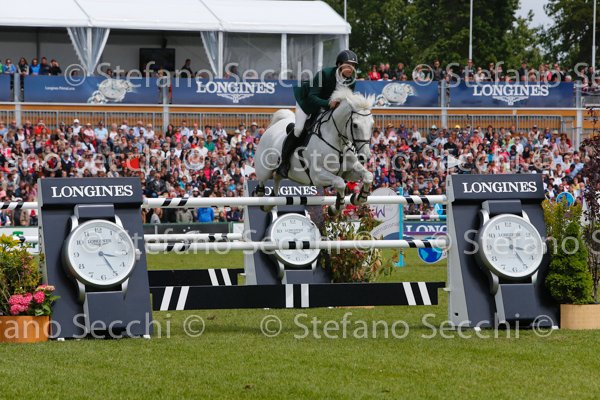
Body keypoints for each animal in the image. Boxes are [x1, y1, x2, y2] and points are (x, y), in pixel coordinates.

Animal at [254, 86, 375, 215]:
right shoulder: (317, 175)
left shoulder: (349, 172)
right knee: (262, 180)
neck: (339, 143)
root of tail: (273, 127)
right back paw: (259, 195)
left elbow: (368, 176)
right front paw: (336, 208)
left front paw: (359, 198)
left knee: (277, 178)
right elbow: (340, 183)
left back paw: (269, 203)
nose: (365, 156)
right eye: (355, 125)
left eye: (372, 125)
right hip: (264, 169)